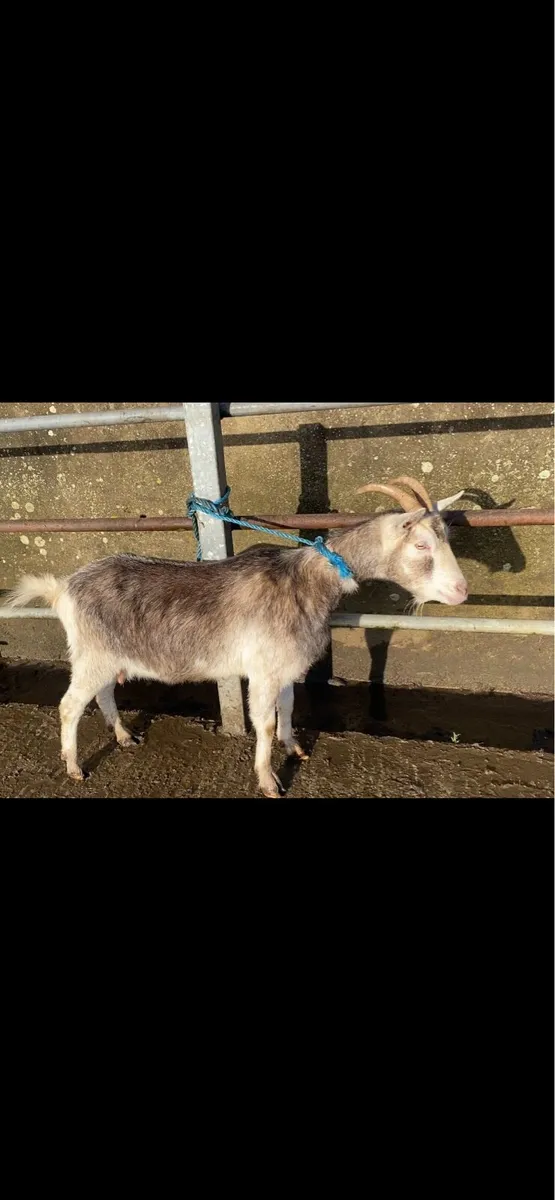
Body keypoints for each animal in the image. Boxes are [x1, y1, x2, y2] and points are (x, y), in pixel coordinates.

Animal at [5, 476, 468, 797]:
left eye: (446, 538)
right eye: (422, 545)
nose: (461, 591)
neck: (308, 580)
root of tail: (63, 589)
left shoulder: (284, 666)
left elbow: (289, 706)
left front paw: (294, 748)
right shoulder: (262, 669)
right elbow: (264, 721)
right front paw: (268, 781)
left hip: (107, 655)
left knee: (103, 694)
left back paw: (123, 737)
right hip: (92, 654)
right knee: (69, 706)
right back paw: (74, 767)